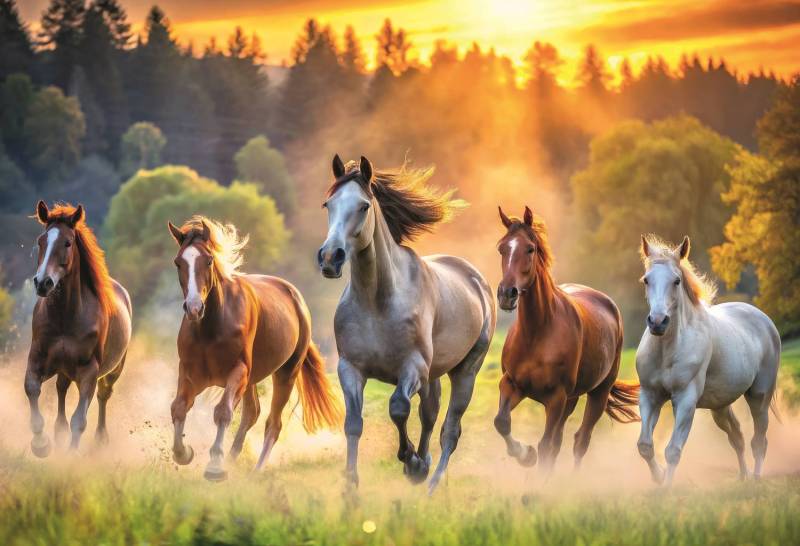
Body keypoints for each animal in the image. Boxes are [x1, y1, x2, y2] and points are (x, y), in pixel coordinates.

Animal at [25, 201, 132, 457]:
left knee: (103, 396)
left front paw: (71, 456)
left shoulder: (89, 372)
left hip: (112, 371)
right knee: (61, 389)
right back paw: (58, 432)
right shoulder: (37, 358)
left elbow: (79, 419)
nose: (43, 283)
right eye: (41, 241)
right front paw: (41, 444)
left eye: (67, 243)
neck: (66, 317)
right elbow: (32, 389)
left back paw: (101, 439)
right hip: (64, 369)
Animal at [167, 216, 342, 481]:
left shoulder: (237, 372)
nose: (194, 308)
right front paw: (184, 453)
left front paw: (215, 466)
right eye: (178, 262)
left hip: (285, 375)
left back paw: (256, 470)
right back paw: (232, 459)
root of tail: (296, 298)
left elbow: (223, 412)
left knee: (272, 423)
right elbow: (178, 408)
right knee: (252, 413)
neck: (211, 326)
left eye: (208, 260)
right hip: (251, 380)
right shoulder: (190, 374)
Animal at [318, 155, 496, 493]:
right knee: (430, 415)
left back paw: (430, 483)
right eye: (327, 204)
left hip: (465, 370)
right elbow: (353, 424)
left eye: (363, 206)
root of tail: (475, 278)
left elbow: (398, 407)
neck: (377, 302)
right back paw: (424, 466)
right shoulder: (350, 368)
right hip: (433, 375)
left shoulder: (412, 367)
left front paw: (410, 461)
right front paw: (350, 489)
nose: (330, 258)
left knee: (450, 430)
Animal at [493, 206, 639, 473]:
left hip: (597, 394)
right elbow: (502, 422)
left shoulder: (556, 398)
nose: (507, 294)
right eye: (502, 248)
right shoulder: (512, 384)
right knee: (560, 441)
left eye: (530, 248)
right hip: (572, 399)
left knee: (580, 440)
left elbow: (545, 445)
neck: (537, 333)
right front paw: (525, 455)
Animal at [636, 235, 781, 485]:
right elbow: (645, 445)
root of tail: (763, 318)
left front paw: (665, 489)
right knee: (737, 437)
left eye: (676, 281)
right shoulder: (650, 396)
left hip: (759, 397)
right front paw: (659, 477)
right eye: (647, 280)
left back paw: (755, 479)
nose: (657, 322)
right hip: (720, 406)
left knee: (759, 441)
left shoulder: (685, 399)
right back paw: (743, 478)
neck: (667, 350)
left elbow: (673, 450)